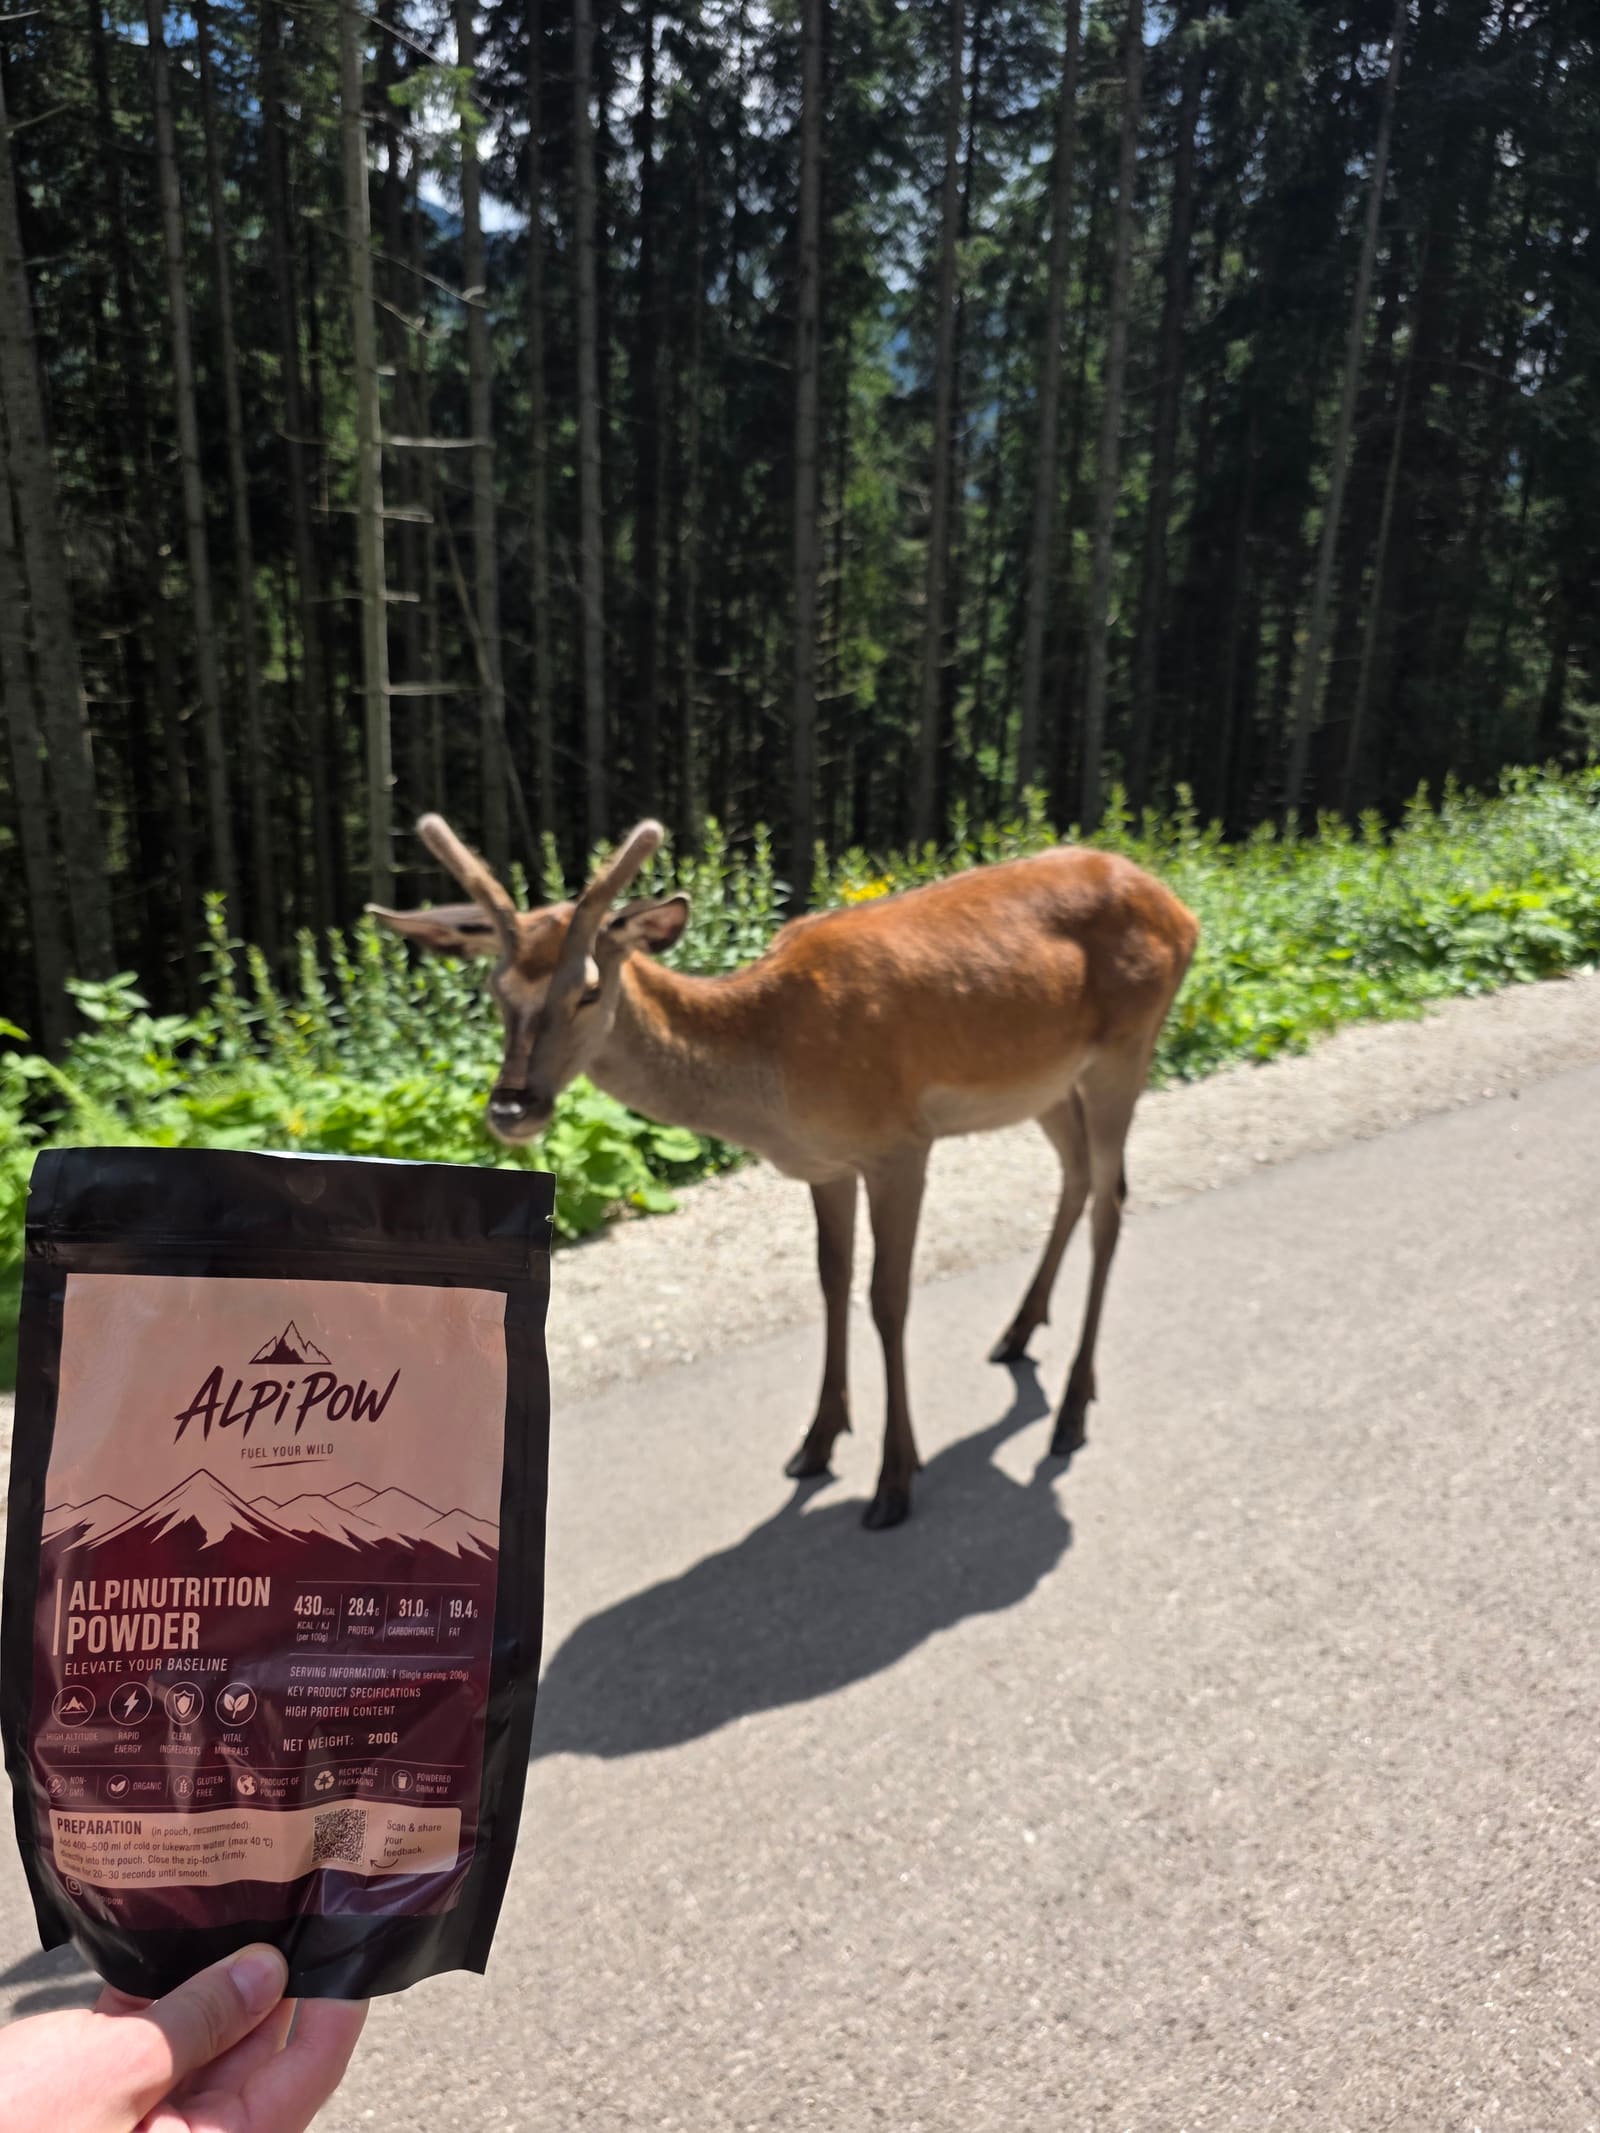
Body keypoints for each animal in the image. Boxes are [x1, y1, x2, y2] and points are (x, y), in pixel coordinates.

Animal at [373, 814, 1198, 1531]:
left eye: (589, 988)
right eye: (496, 992)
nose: (513, 1104)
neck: (775, 1065)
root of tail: (1182, 911)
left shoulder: (901, 1142)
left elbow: (887, 1298)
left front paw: (894, 1478)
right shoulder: (823, 1165)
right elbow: (831, 1280)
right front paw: (817, 1441)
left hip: (1128, 1044)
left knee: (1113, 1197)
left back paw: (1071, 1410)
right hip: (1049, 1084)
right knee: (1079, 1177)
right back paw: (1019, 1332)